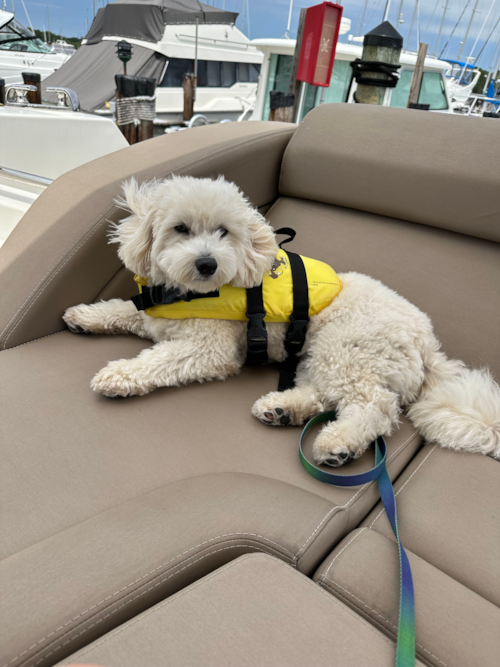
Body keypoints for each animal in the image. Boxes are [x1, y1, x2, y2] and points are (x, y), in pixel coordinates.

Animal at [63, 177, 500, 470]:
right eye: (179, 228)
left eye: (224, 232)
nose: (207, 263)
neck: (187, 294)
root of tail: (429, 345)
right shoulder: (153, 317)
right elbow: (121, 309)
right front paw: (84, 316)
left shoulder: (210, 349)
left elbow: (158, 360)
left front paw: (117, 375)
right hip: (319, 355)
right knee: (323, 396)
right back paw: (281, 409)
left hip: (345, 347)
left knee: (374, 405)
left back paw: (338, 443)